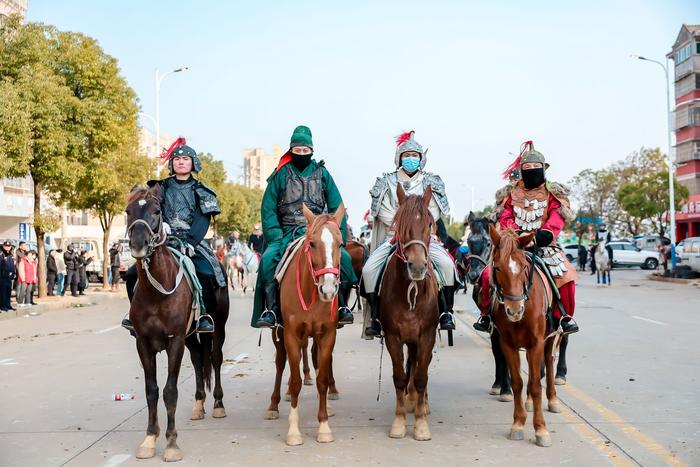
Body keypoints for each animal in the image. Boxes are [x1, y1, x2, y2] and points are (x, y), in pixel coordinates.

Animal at [126, 185, 230, 462]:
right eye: (128, 211)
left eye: (156, 211)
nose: (138, 245)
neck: (157, 292)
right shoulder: (144, 344)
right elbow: (151, 390)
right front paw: (150, 439)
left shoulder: (174, 341)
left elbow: (170, 391)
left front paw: (171, 444)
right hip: (191, 337)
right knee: (197, 361)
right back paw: (199, 405)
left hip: (217, 328)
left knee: (215, 359)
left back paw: (217, 405)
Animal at [490, 227, 560, 450]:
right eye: (498, 268)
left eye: (523, 267)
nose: (514, 310)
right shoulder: (507, 344)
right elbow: (518, 383)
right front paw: (518, 423)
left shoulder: (536, 343)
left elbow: (536, 385)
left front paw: (541, 429)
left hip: (548, 340)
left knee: (548, 364)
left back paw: (553, 400)